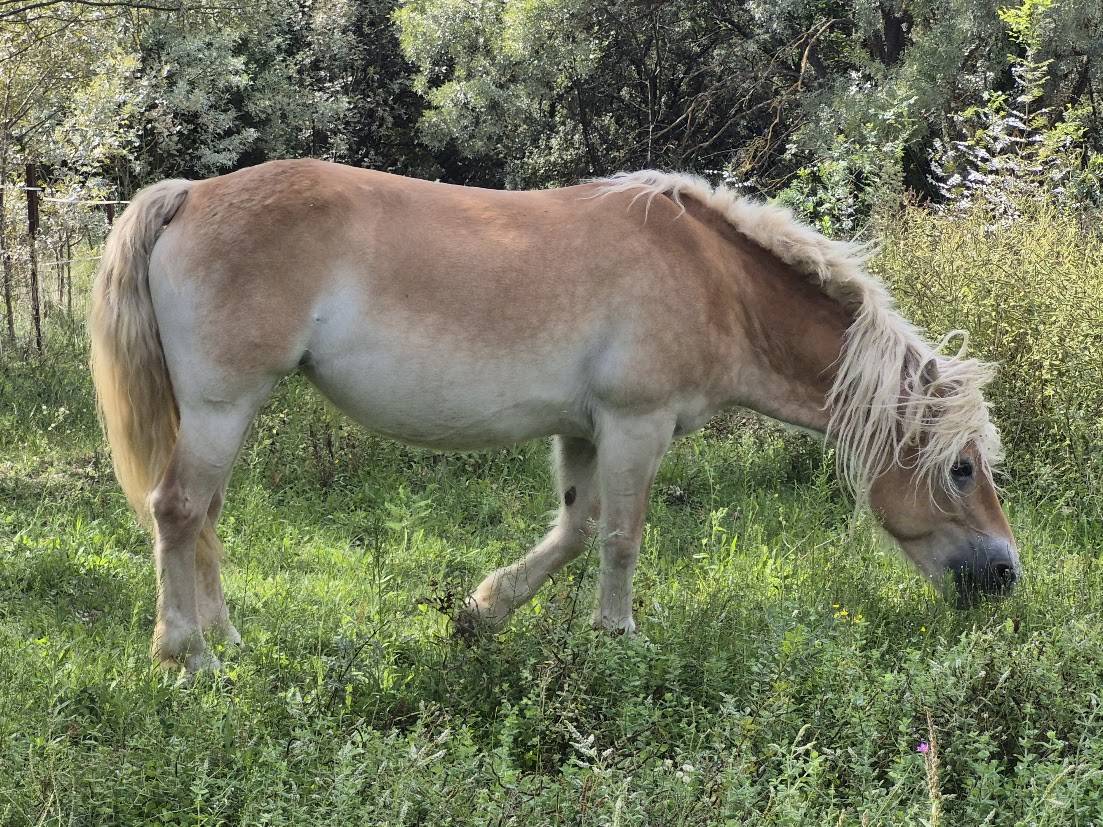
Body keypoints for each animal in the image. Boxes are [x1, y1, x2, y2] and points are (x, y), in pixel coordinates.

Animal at [89, 159, 1020, 674]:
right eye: (961, 468)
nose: (1006, 576)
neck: (714, 281)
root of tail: (192, 195)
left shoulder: (582, 430)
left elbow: (573, 531)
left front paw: (481, 612)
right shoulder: (636, 424)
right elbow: (621, 537)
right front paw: (619, 636)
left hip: (224, 412)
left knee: (204, 518)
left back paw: (227, 636)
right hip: (221, 405)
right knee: (179, 512)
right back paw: (190, 653)